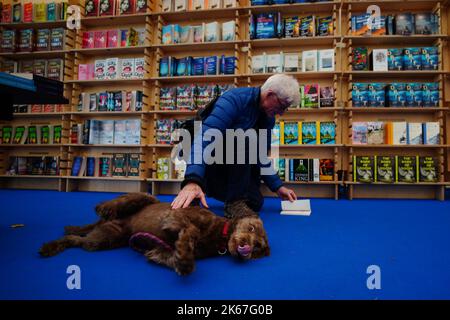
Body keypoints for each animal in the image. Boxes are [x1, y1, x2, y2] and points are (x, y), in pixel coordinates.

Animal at [38, 192, 268, 276]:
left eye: (258, 247)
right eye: (251, 229)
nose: (248, 247)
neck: (219, 234)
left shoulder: (165, 249)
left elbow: (174, 255)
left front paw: (184, 261)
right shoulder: (178, 215)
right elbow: (191, 230)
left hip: (103, 238)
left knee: (78, 239)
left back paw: (56, 243)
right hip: (144, 198)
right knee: (119, 201)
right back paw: (103, 208)